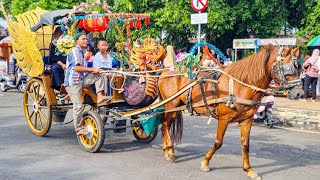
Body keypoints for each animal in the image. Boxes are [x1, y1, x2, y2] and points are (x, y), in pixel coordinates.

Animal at [158, 44, 300, 179]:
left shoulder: (247, 120)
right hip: (171, 103)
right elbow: (218, 142)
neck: (241, 85)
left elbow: (245, 145)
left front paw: (249, 169)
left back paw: (167, 150)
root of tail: (166, 70)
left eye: (298, 67)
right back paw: (170, 151)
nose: (299, 93)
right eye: (288, 68)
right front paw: (205, 162)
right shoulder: (224, 118)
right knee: (164, 123)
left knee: (166, 124)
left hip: (177, 106)